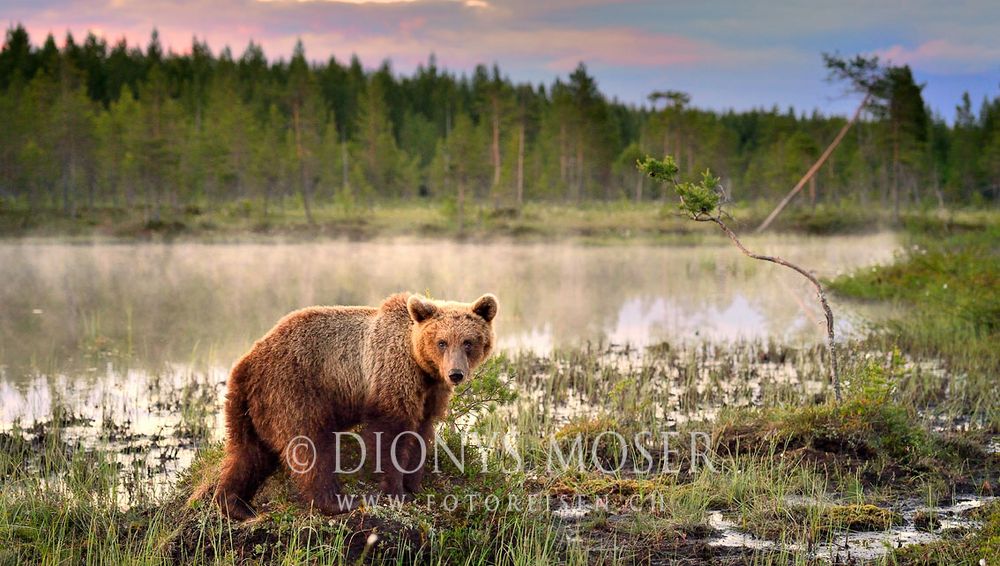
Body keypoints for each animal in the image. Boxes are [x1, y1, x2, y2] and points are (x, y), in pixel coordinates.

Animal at [214, 296, 496, 520]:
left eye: (468, 342)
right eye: (442, 342)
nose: (456, 374)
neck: (421, 366)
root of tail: (248, 361)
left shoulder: (430, 392)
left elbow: (421, 432)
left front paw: (415, 484)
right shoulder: (392, 373)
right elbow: (389, 433)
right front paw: (396, 490)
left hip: (250, 406)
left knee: (248, 453)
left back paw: (235, 504)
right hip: (293, 389)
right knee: (310, 446)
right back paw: (337, 501)